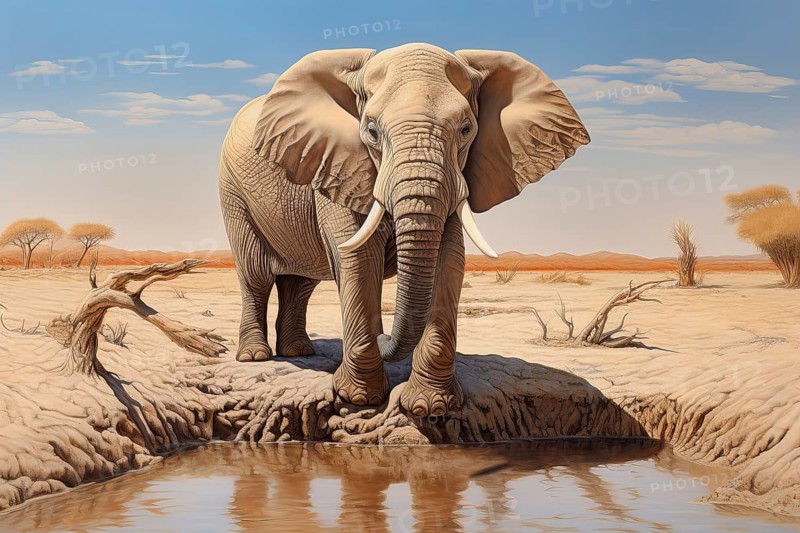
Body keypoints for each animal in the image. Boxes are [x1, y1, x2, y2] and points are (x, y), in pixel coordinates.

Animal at [219, 43, 589, 416]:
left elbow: (449, 259)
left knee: (301, 282)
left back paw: (299, 352)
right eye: (371, 131)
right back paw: (255, 356)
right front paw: (358, 399)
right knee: (256, 275)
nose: (383, 335)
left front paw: (431, 406)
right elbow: (356, 257)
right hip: (233, 194)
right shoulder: (338, 166)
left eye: (466, 129)